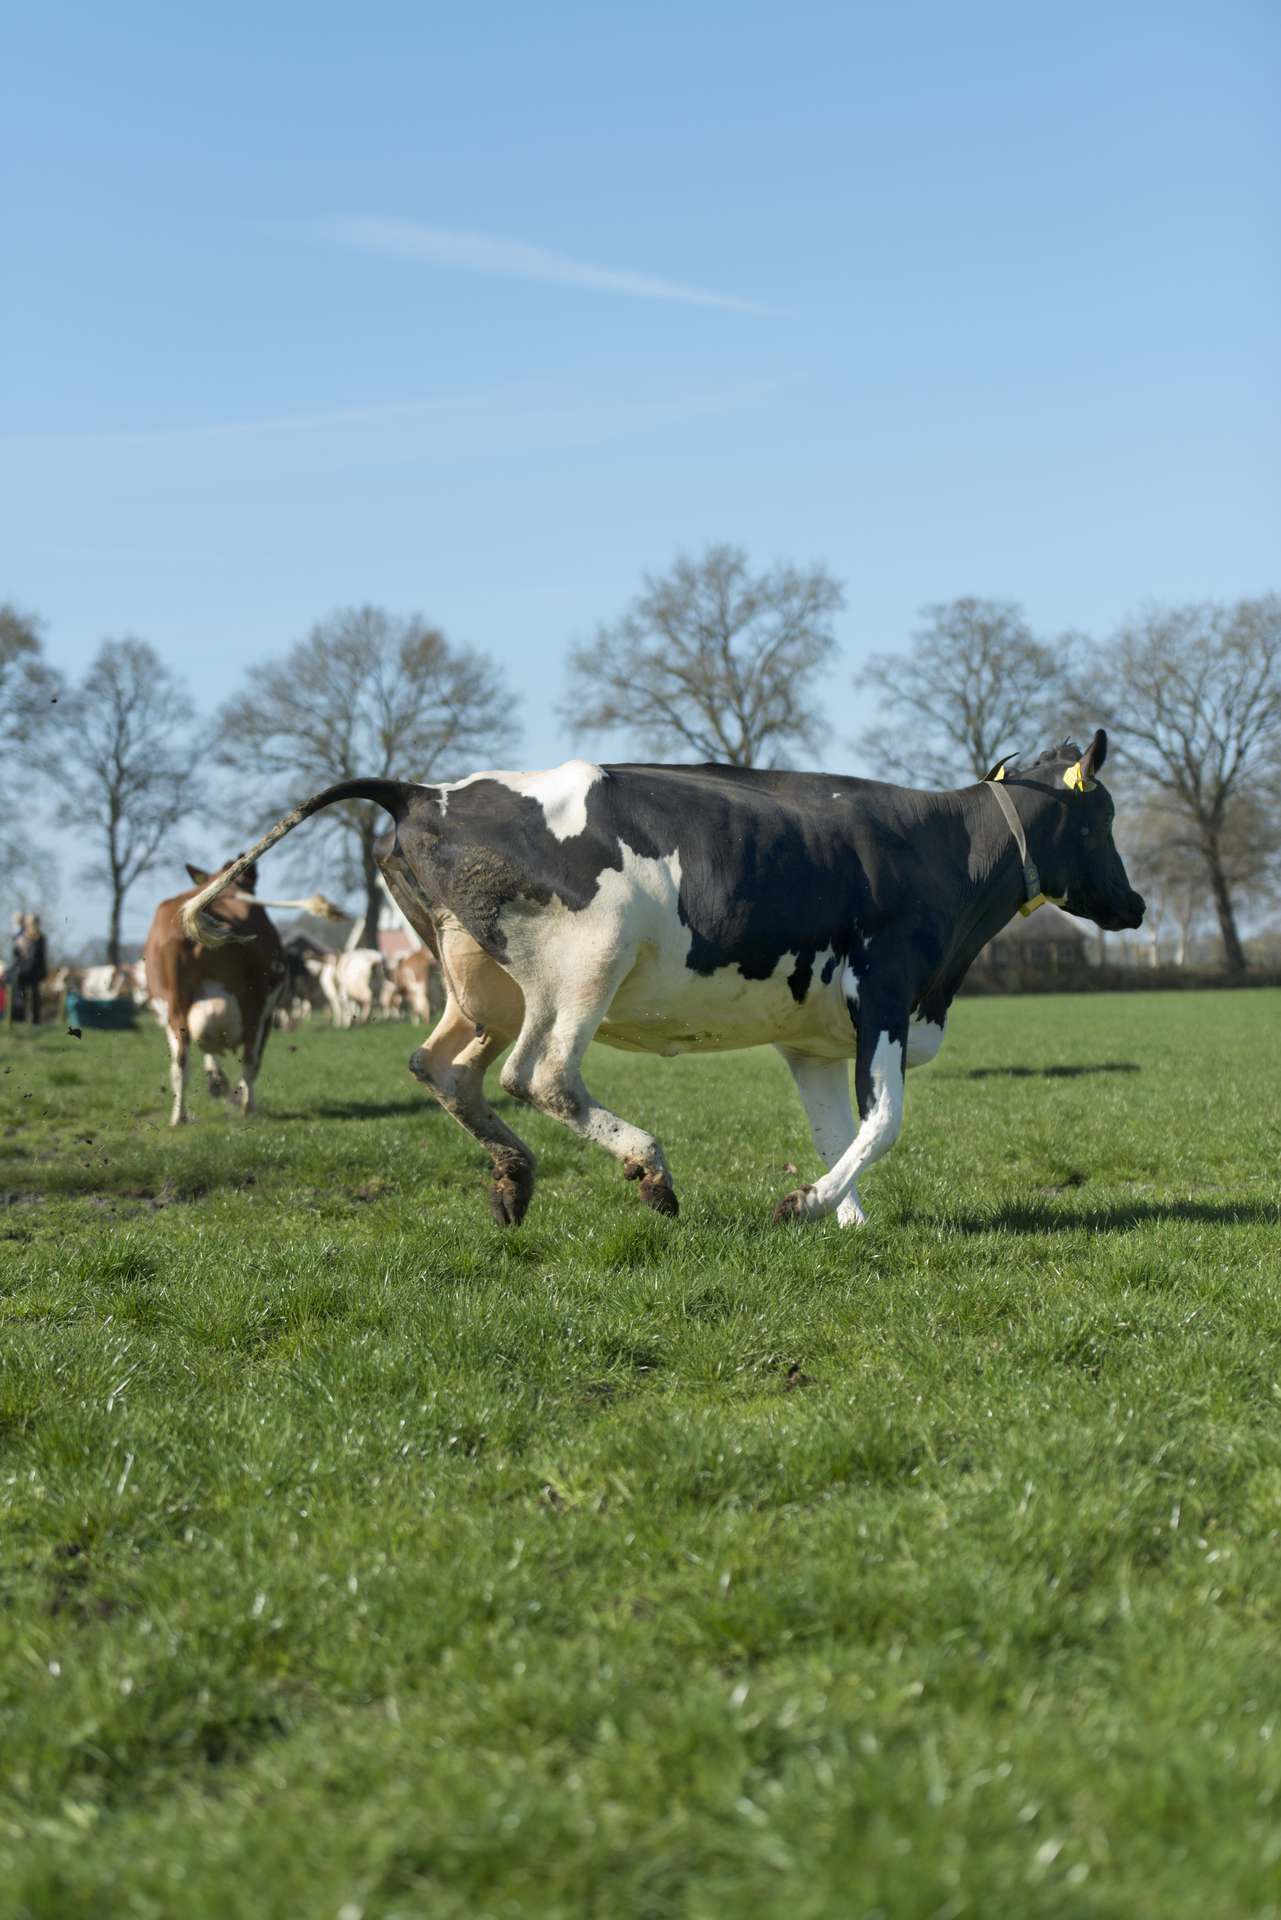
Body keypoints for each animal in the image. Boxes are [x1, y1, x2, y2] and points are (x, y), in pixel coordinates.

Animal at [182, 734, 1144, 1225]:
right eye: (1100, 819)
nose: (1134, 904)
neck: (939, 849)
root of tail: (423, 791)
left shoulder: (813, 1037)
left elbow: (840, 1130)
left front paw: (846, 1221)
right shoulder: (884, 996)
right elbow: (885, 1122)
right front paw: (806, 1201)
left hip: (479, 983)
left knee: (444, 1068)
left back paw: (513, 1179)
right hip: (582, 966)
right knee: (540, 1075)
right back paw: (646, 1168)